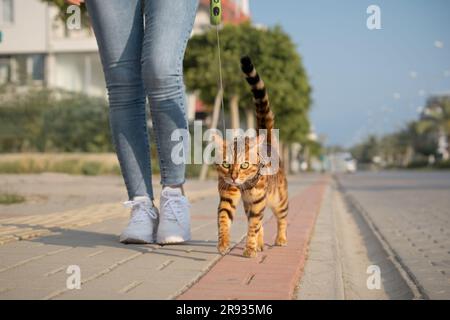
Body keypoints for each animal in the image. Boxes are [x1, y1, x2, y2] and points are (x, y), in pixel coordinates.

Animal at [214, 57, 288, 258]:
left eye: (245, 165)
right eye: (226, 164)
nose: (233, 177)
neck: (243, 185)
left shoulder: (258, 201)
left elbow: (254, 226)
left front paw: (249, 248)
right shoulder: (228, 194)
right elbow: (224, 219)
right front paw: (224, 244)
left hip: (279, 199)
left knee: (282, 218)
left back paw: (280, 239)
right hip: (248, 204)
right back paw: (261, 244)